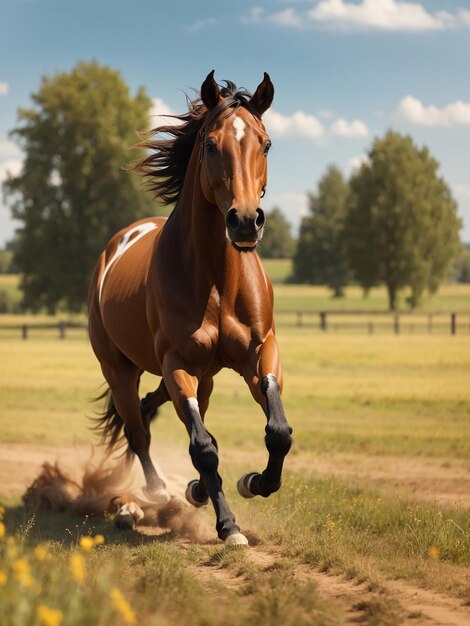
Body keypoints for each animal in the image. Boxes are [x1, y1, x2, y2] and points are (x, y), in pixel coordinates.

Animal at [87, 70, 292, 544]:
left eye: (266, 143)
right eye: (212, 144)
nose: (245, 221)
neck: (216, 281)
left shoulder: (260, 353)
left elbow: (278, 431)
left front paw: (253, 481)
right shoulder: (177, 363)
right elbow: (203, 447)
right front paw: (228, 525)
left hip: (205, 377)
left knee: (150, 408)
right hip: (121, 369)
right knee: (137, 428)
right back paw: (157, 491)